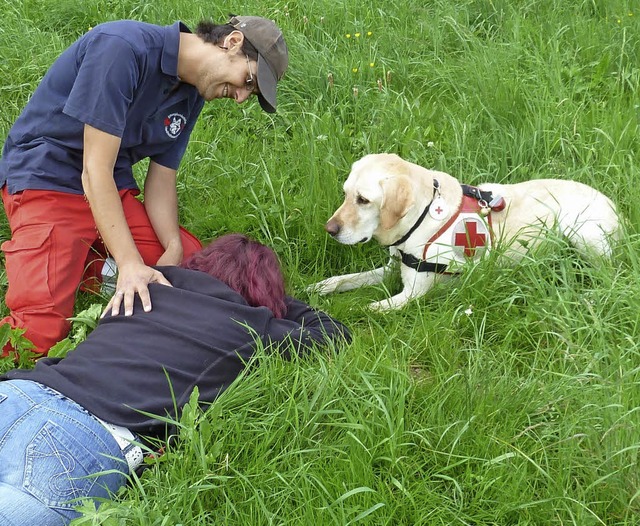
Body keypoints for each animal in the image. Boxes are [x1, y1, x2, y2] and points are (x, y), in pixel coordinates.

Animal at [310, 153, 620, 312]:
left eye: (363, 200)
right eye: (345, 194)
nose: (329, 229)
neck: (422, 215)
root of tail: (615, 206)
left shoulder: (412, 293)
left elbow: (369, 308)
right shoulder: (391, 268)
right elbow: (350, 279)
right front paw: (324, 285)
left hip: (582, 232)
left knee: (608, 276)